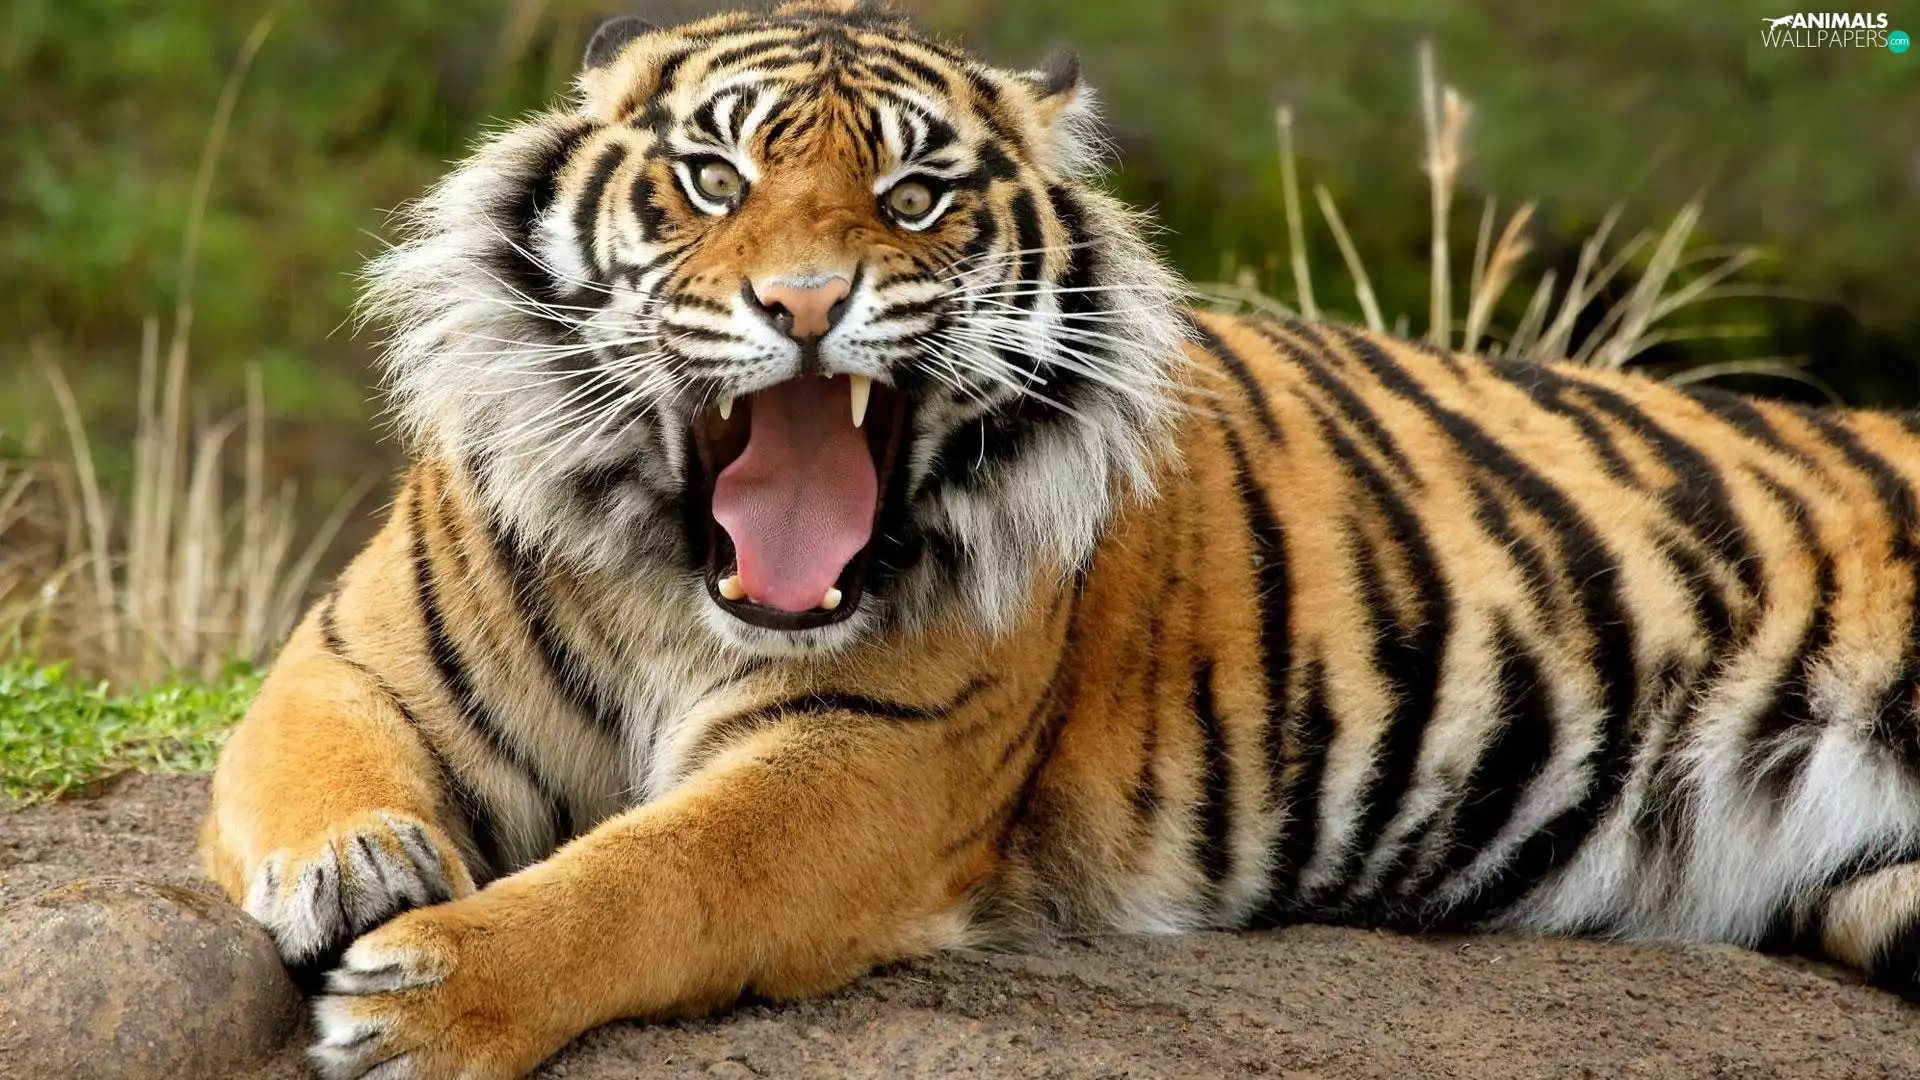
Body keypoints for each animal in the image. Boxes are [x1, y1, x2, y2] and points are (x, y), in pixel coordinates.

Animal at [199, 2, 1920, 1077]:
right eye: (713, 176)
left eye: (914, 194)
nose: (807, 304)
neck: (674, 586)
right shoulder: (354, 658)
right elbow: (313, 764)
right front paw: (357, 867)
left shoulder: (868, 761)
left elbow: (651, 874)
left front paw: (431, 998)